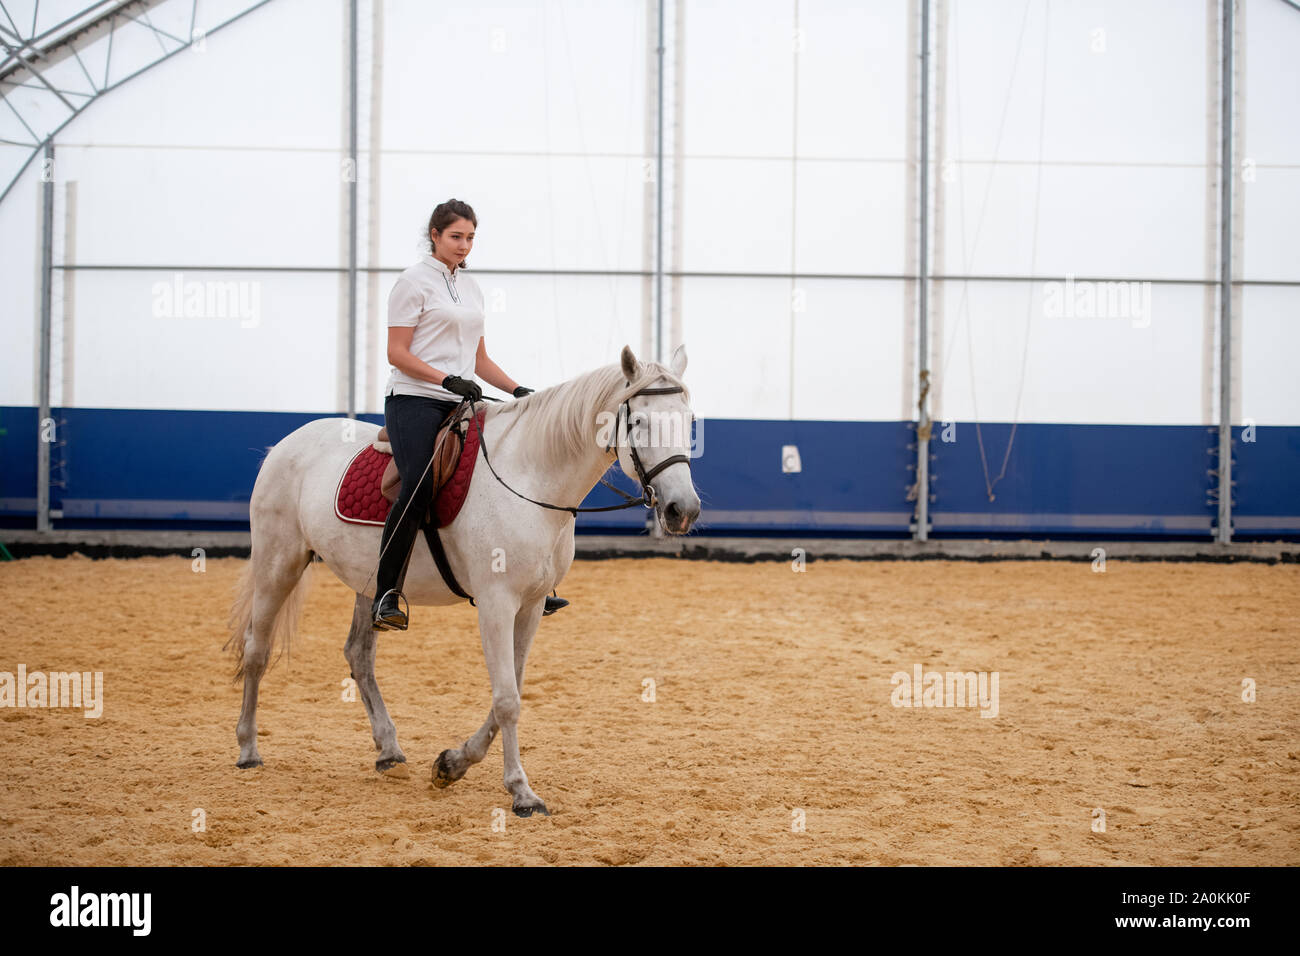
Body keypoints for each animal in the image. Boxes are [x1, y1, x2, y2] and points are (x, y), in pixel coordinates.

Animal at [228, 343, 707, 816]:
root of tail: (288, 442)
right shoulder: (497, 602)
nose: (682, 510)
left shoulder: (531, 606)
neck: (531, 479)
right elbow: (508, 700)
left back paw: (388, 750)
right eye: (640, 422)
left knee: (359, 656)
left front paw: (451, 764)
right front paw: (521, 792)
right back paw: (248, 749)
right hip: (278, 563)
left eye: (689, 422)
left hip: (368, 583)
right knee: (257, 649)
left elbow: (511, 690)